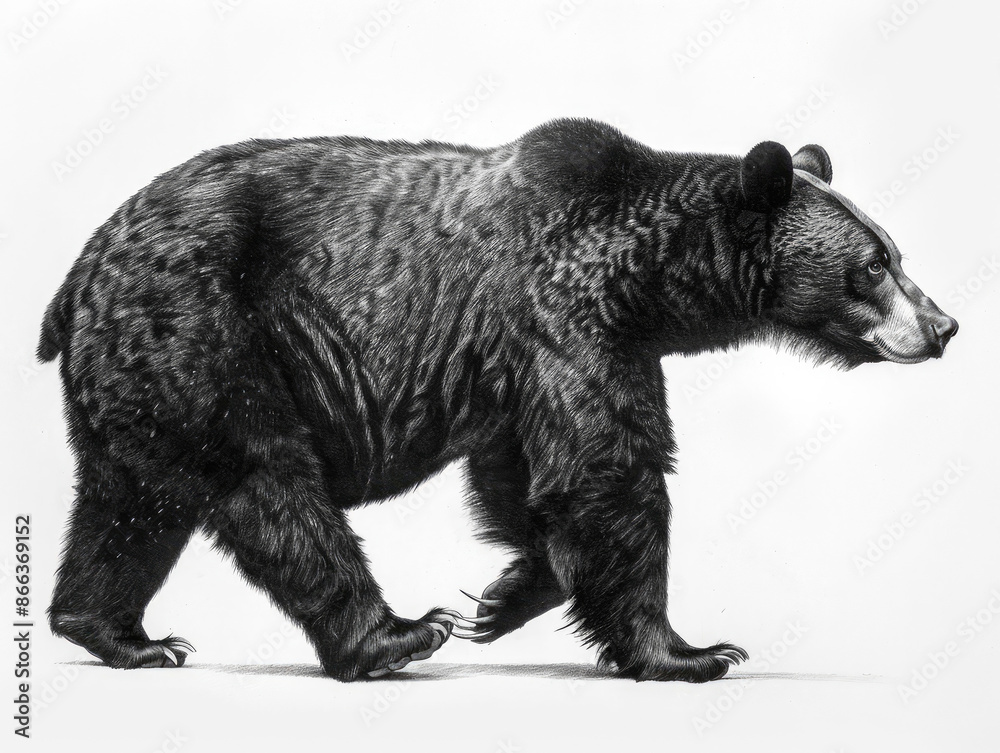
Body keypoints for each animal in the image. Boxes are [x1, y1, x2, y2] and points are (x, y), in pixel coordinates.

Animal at [38, 118, 958, 682]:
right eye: (874, 264)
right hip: (209, 329)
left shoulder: (529, 360)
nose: (944, 325)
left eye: (895, 251)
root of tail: (79, 271)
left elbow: (525, 477)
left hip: (143, 374)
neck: (648, 278)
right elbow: (611, 468)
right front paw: (690, 650)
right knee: (267, 480)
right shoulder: (563, 313)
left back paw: (123, 634)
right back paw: (396, 633)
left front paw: (508, 593)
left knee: (131, 504)